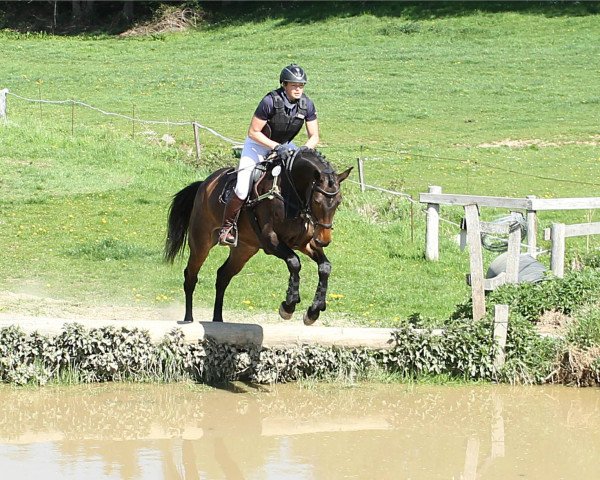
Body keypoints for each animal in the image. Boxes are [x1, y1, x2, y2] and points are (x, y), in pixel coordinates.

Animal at [164, 147, 352, 326]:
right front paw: (288, 306)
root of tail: (205, 183)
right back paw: (188, 318)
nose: (324, 240)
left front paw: (314, 311)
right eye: (317, 201)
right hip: (201, 242)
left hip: (244, 249)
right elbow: (294, 262)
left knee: (223, 276)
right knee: (190, 276)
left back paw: (218, 320)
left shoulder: (304, 243)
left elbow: (325, 267)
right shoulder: (271, 240)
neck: (291, 193)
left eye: (338, 202)